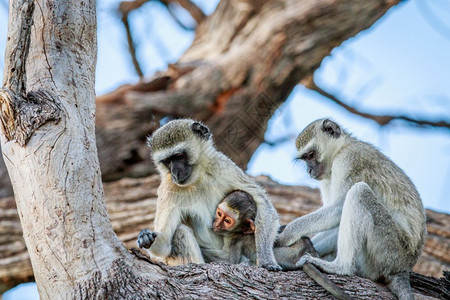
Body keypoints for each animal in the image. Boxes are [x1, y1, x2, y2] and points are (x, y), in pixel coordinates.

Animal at [136, 120, 282, 272]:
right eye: (167, 161)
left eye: (179, 156)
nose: (175, 173)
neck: (198, 178)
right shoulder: (169, 187)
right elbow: (164, 245)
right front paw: (147, 237)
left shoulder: (223, 165)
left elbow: (263, 204)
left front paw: (266, 261)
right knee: (181, 232)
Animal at [276, 118, 428, 298]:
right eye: (305, 159)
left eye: (311, 155)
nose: (309, 171)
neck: (342, 147)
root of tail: (403, 268)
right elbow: (333, 218)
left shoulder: (349, 161)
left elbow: (338, 208)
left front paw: (286, 234)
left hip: (389, 251)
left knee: (358, 192)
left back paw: (340, 267)